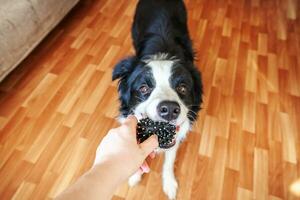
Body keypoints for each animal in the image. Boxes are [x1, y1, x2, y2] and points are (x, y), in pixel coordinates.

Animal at [112, 0, 204, 198]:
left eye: (182, 87)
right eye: (144, 88)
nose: (169, 109)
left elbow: (169, 159)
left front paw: (169, 184)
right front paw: (134, 175)